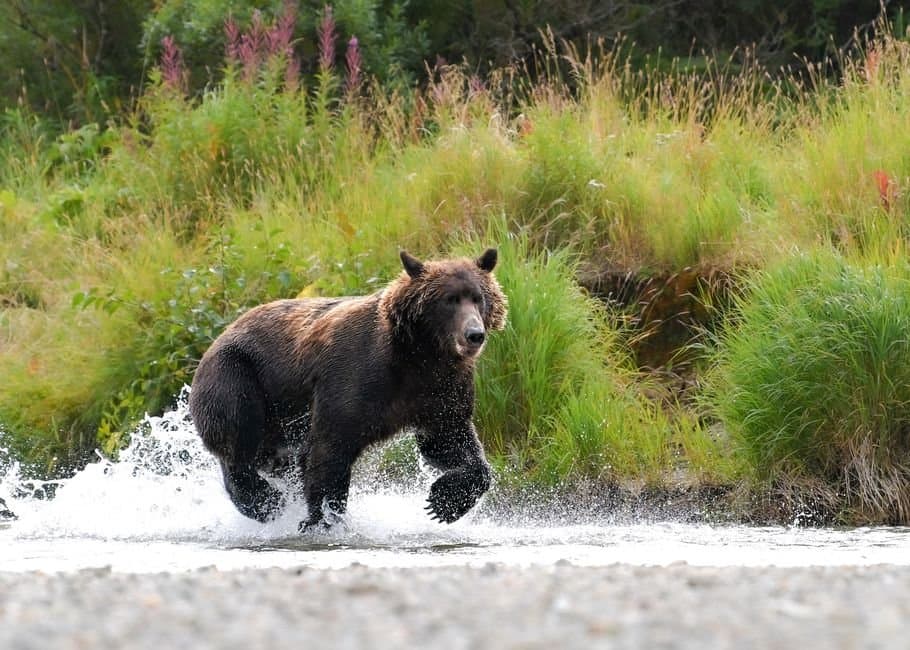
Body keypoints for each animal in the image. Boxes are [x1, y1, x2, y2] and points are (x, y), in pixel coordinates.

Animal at [189, 248, 507, 531]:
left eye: (478, 298)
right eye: (448, 300)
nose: (474, 334)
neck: (418, 355)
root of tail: (217, 337)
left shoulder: (440, 389)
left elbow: (449, 440)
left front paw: (443, 502)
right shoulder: (354, 377)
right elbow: (328, 450)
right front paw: (323, 520)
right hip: (238, 376)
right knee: (239, 439)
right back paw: (265, 501)